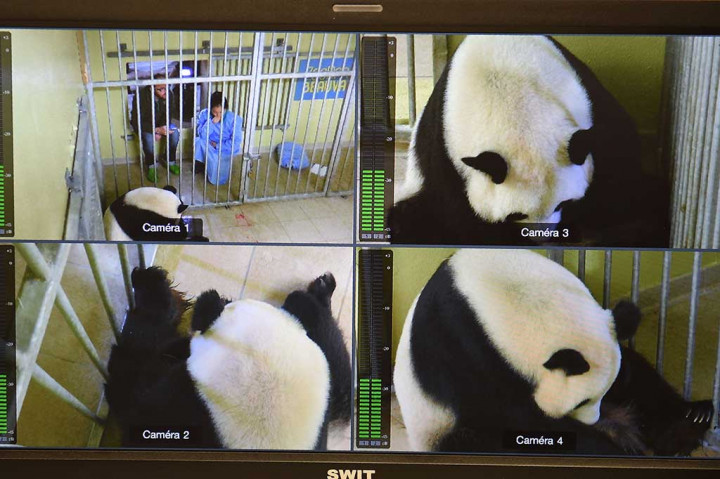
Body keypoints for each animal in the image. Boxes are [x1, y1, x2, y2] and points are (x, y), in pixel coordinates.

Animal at [105, 266, 351, 450]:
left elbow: (128, 384)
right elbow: (342, 388)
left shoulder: (175, 406)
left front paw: (152, 287)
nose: (225, 298)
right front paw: (319, 293)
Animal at [389, 35, 668, 247]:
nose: (543, 238)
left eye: (563, 203)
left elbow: (619, 175)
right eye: (517, 214)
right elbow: (461, 215)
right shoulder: (445, 150)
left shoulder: (591, 103)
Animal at [393, 249, 713, 455]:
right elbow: (513, 416)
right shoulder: (463, 346)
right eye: (581, 402)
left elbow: (634, 375)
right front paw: (607, 444)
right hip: (438, 428)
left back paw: (689, 423)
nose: (594, 420)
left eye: (606, 392)